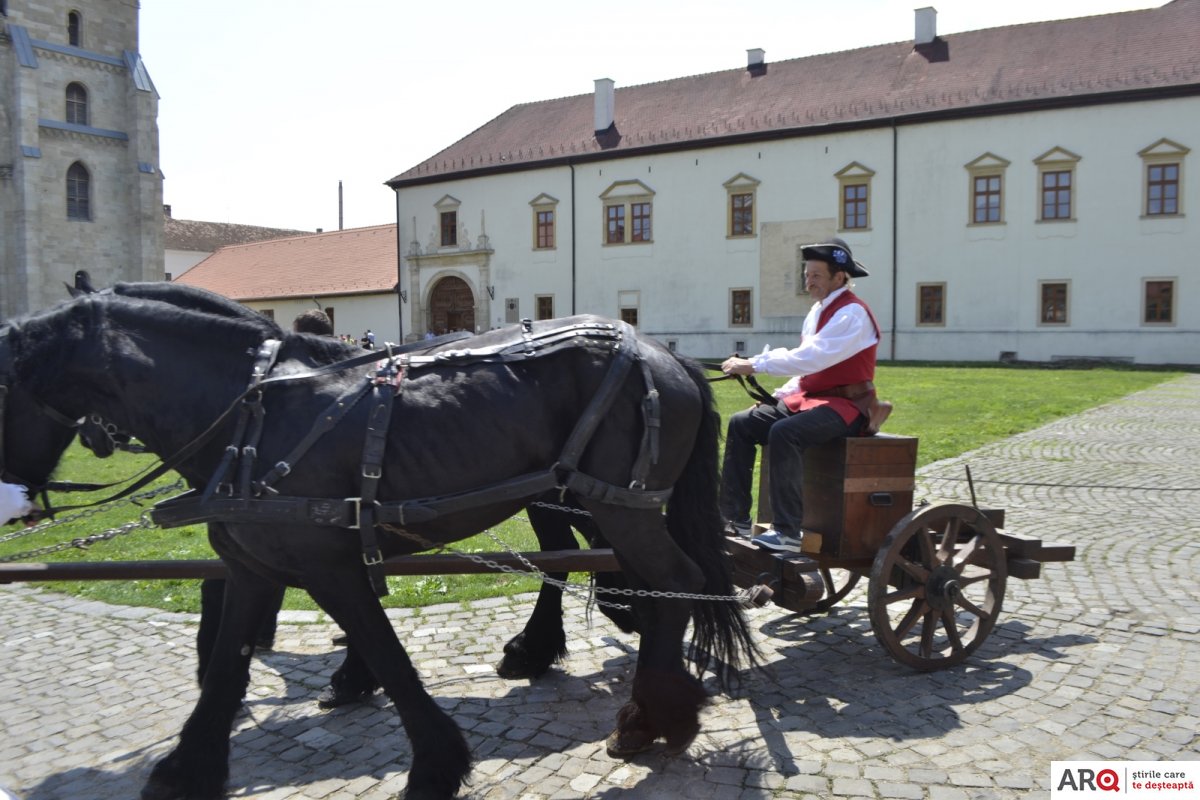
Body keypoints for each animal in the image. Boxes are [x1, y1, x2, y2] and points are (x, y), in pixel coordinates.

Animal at [0, 284, 755, 800]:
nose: (11, 504)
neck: (250, 412)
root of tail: (665, 355)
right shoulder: (253, 566)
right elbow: (225, 668)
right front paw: (189, 766)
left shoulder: (328, 566)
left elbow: (389, 658)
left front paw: (434, 763)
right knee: (630, 581)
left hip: (619, 508)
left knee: (672, 584)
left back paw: (653, 712)